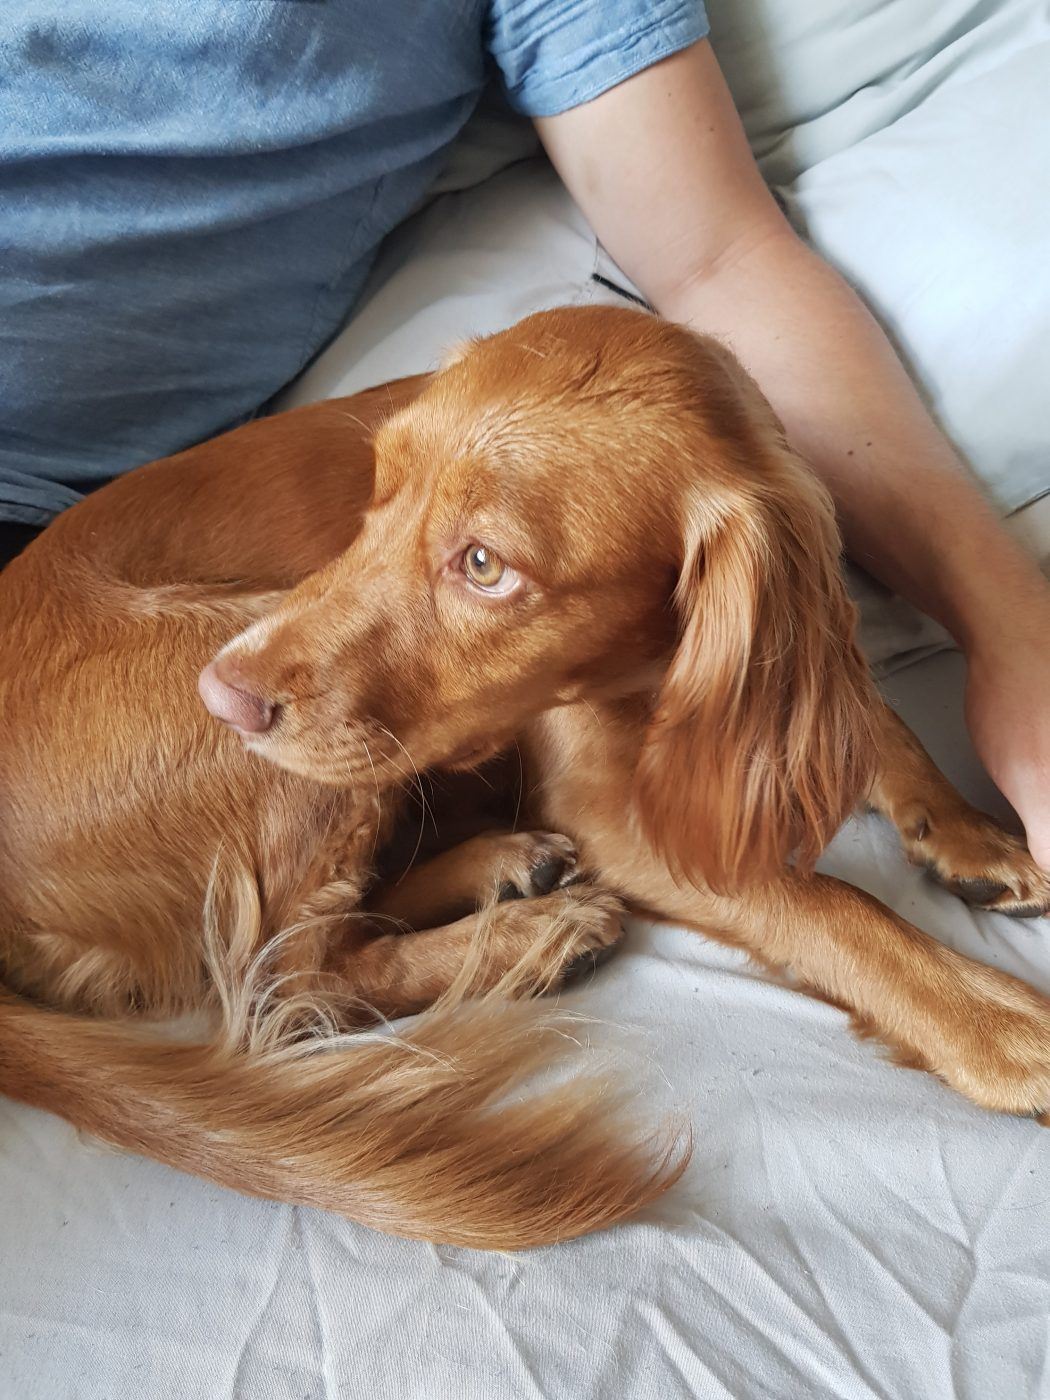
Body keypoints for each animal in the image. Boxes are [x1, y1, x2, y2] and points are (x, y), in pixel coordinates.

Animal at [2, 303, 1050, 1248]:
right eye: (376, 498)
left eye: (483, 565)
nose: (222, 700)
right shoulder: (613, 814)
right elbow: (829, 906)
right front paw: (988, 1021)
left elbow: (867, 718)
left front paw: (966, 830)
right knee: (294, 984)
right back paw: (533, 935)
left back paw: (505, 874)